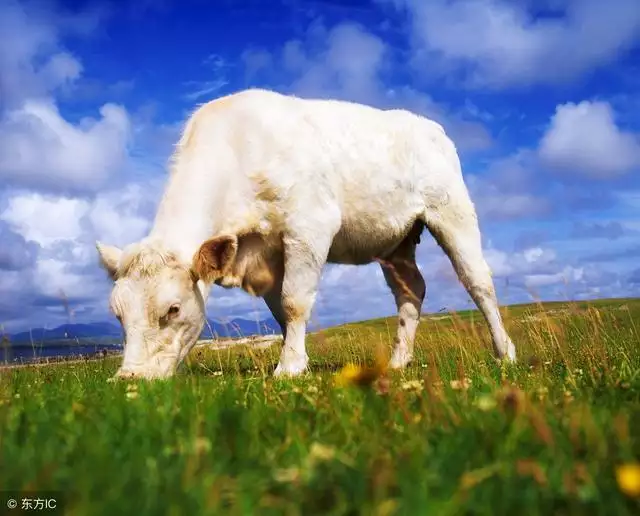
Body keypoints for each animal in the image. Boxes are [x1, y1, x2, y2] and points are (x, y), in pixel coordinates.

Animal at [95, 88, 516, 378]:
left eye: (173, 309)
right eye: (117, 314)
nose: (129, 378)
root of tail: (429, 125)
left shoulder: (310, 223)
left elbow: (295, 301)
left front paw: (288, 368)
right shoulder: (268, 255)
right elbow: (282, 310)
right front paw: (298, 360)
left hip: (452, 210)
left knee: (478, 281)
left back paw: (504, 352)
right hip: (396, 241)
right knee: (411, 290)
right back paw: (399, 360)